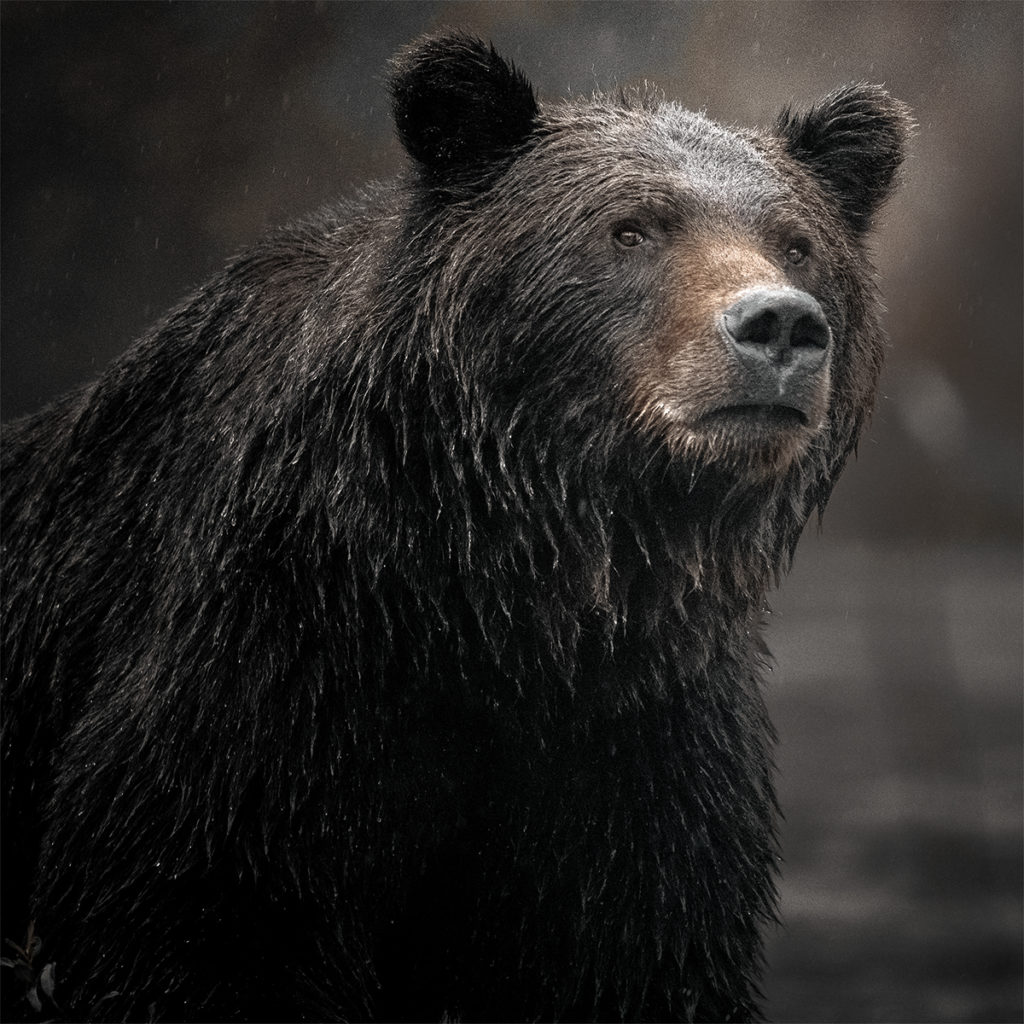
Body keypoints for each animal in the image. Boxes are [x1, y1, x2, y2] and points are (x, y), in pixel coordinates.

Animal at [1, 30, 910, 1024]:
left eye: (797, 243)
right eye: (631, 228)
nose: (777, 323)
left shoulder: (637, 747)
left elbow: (631, 952)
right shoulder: (262, 674)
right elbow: (204, 921)